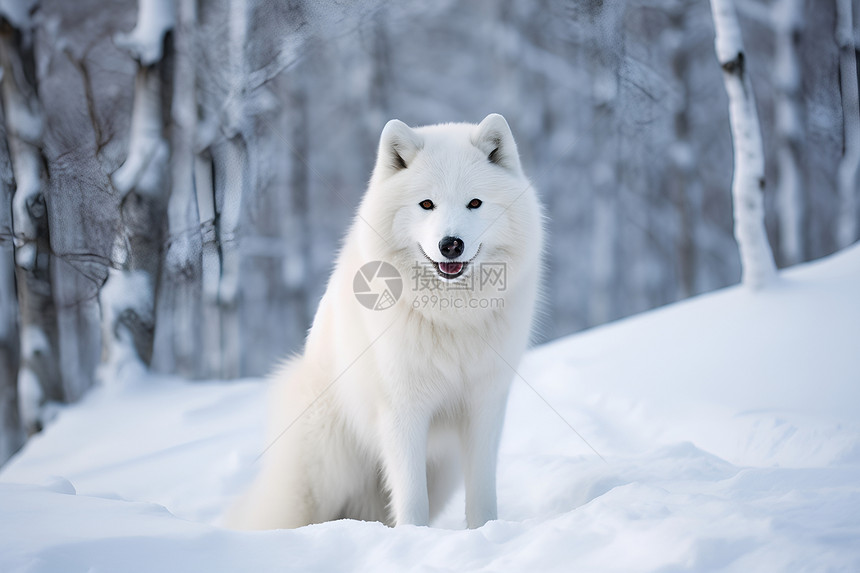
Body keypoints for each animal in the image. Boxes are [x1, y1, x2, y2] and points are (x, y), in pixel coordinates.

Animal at [225, 114, 540, 528]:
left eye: (475, 203)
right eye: (427, 204)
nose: (450, 244)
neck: (451, 317)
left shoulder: (485, 405)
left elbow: (483, 494)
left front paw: (485, 531)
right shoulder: (402, 409)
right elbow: (411, 498)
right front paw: (414, 537)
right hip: (321, 477)